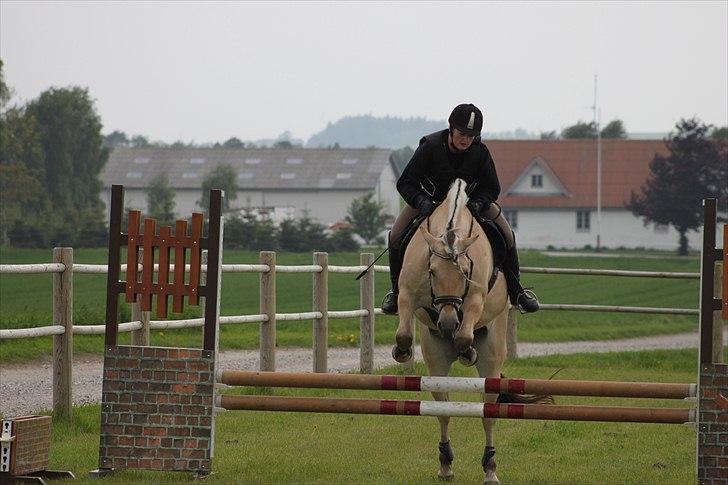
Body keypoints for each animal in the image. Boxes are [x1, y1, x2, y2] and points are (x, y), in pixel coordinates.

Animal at [390, 179, 548, 484]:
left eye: (465, 271)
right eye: (432, 271)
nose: (447, 324)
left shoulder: (475, 297)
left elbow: (466, 333)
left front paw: (466, 350)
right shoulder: (407, 293)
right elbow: (403, 330)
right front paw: (401, 351)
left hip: (492, 360)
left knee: (488, 414)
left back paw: (490, 469)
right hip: (436, 362)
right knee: (443, 411)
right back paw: (445, 464)